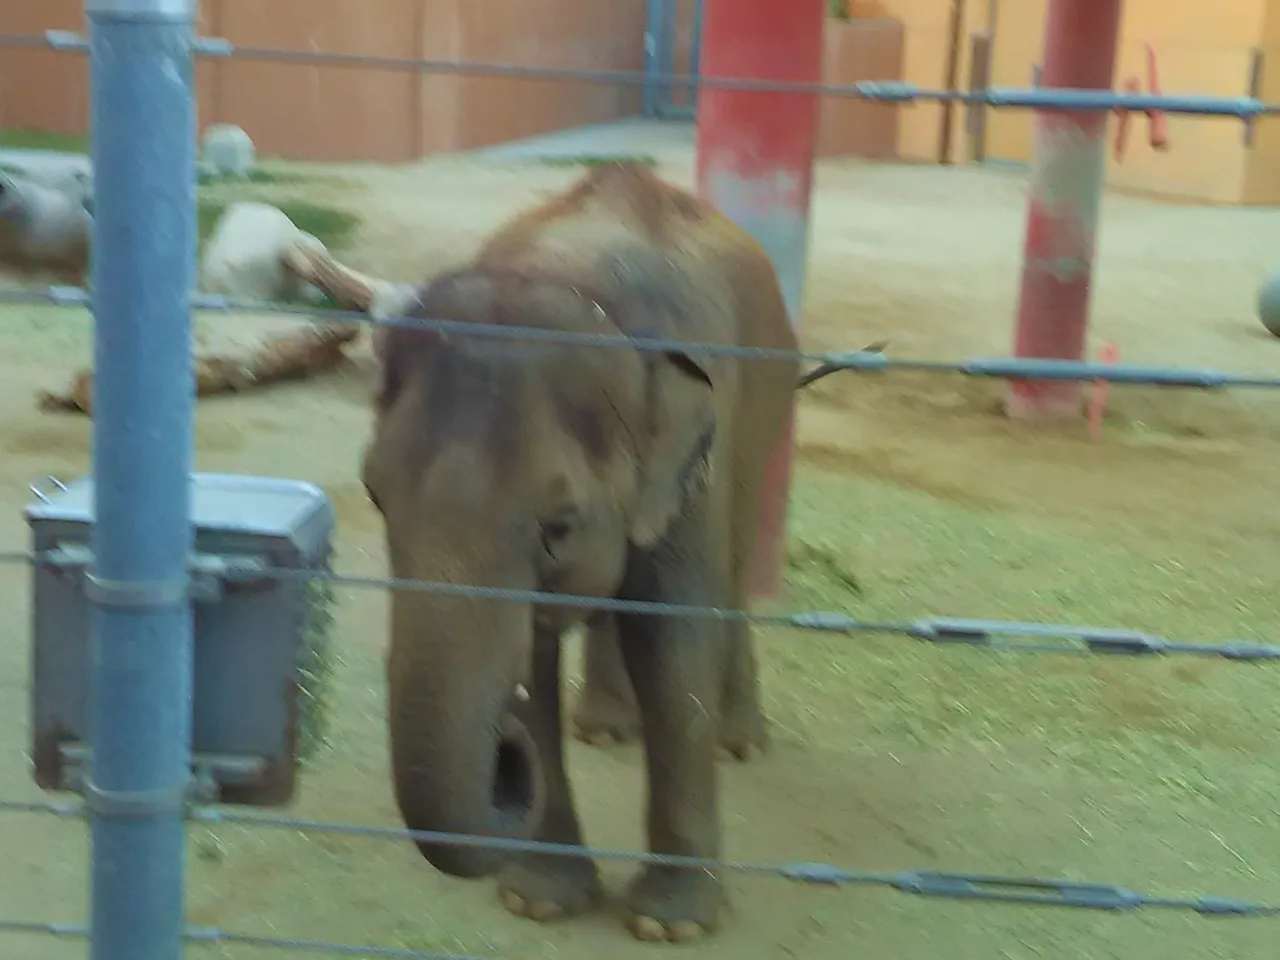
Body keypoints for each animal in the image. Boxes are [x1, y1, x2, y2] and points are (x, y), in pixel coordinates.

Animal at [360, 161, 793, 942]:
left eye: (558, 526)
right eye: (374, 494)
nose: (504, 760)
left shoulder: (695, 457)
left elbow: (672, 646)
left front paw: (671, 926)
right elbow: (533, 654)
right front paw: (541, 901)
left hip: (765, 406)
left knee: (736, 568)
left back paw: (740, 742)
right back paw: (605, 728)